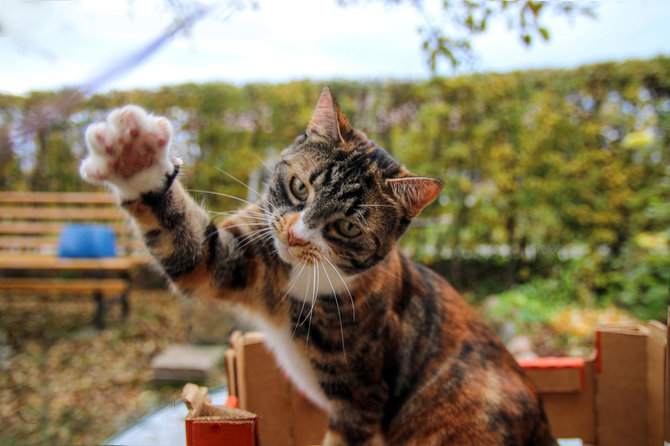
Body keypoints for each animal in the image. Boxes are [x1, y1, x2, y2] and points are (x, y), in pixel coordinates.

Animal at [81, 85, 560, 444]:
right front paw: (134, 157)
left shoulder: (361, 402)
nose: (296, 236)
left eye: (346, 226)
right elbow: (195, 251)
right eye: (299, 187)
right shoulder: (246, 256)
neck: (296, 281)